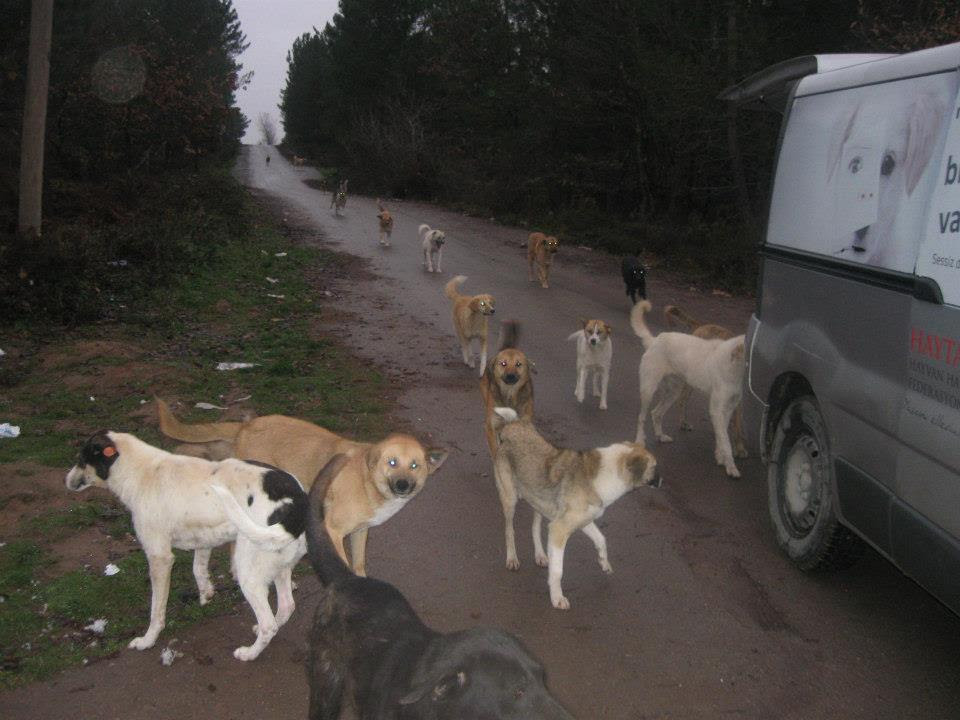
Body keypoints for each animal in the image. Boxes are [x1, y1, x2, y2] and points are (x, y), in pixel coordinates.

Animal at [65, 430, 306, 660]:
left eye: (81, 459)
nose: (66, 481)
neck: (141, 470)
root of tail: (298, 499)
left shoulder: (160, 558)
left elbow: (156, 611)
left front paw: (148, 640)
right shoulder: (204, 539)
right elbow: (198, 568)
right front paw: (206, 593)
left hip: (249, 573)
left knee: (269, 625)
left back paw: (249, 653)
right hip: (279, 566)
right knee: (287, 606)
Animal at [157, 396, 446, 576]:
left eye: (414, 465)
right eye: (392, 462)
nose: (403, 485)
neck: (368, 479)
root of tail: (247, 424)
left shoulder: (360, 531)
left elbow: (359, 564)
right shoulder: (333, 530)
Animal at [632, 302, 748, 478]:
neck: (733, 365)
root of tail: (655, 340)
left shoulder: (728, 409)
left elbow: (722, 438)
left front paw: (720, 457)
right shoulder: (717, 410)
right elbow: (726, 442)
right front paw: (731, 467)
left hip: (673, 393)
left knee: (656, 413)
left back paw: (660, 436)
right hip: (648, 391)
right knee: (641, 417)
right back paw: (639, 441)